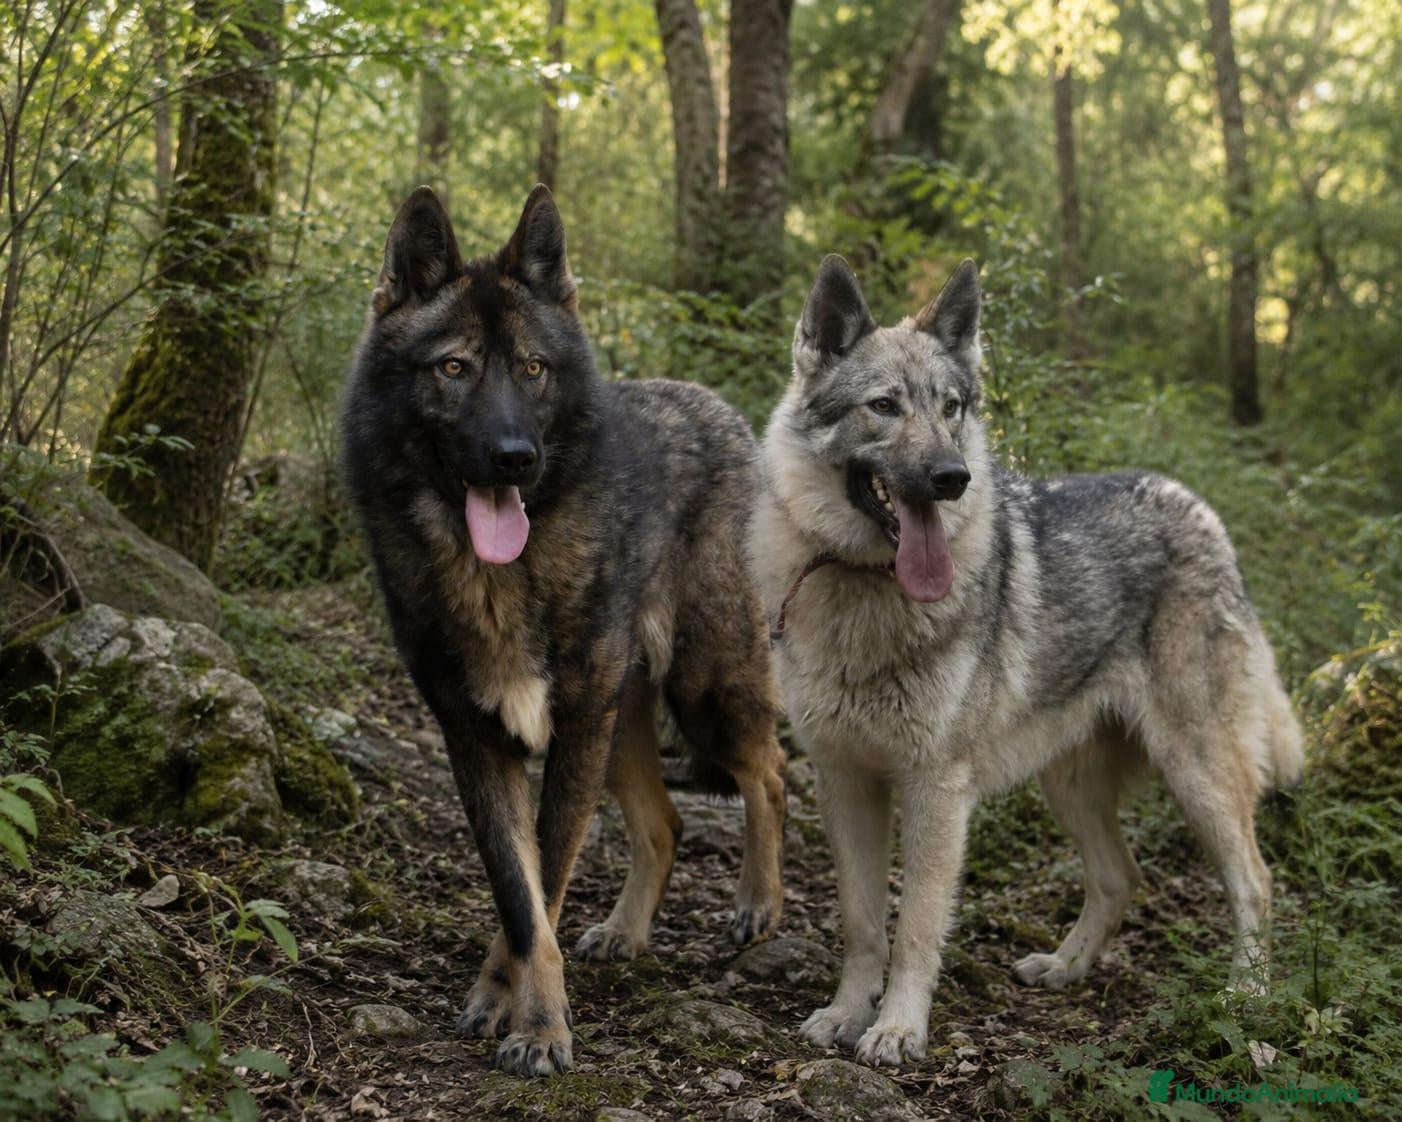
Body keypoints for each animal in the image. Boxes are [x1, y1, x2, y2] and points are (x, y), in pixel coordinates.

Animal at [341, 185, 786, 1076]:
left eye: (533, 369)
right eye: (454, 367)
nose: (516, 456)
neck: (498, 577)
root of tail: (720, 406)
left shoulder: (573, 728)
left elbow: (544, 877)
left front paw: (538, 1026)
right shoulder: (477, 740)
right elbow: (520, 895)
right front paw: (504, 998)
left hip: (702, 690)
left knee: (772, 773)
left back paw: (760, 902)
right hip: (622, 727)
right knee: (667, 824)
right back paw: (624, 931)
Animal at [749, 254, 1304, 1067]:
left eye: (952, 408)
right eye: (884, 406)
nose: (952, 478)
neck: (865, 589)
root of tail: (1198, 505)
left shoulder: (936, 790)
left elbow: (916, 927)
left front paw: (898, 1029)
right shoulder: (843, 780)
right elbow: (861, 922)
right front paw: (847, 1015)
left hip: (1195, 774)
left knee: (1256, 881)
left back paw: (1247, 998)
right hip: (1068, 785)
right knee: (1120, 878)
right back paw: (1066, 968)